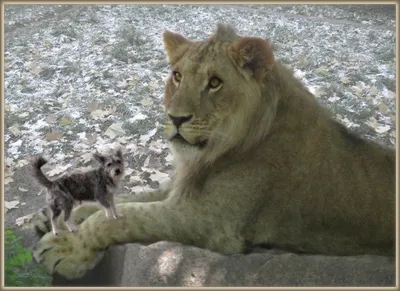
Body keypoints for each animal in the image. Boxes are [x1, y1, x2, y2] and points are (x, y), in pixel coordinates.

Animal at [30, 23, 394, 280]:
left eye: (215, 82)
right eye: (177, 76)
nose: (175, 118)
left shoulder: (210, 221)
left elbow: (127, 219)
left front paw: (67, 248)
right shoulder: (183, 188)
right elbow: (134, 198)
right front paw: (62, 215)